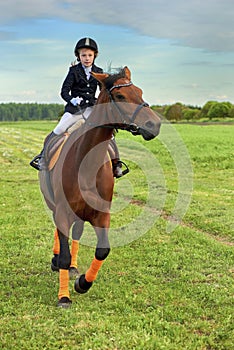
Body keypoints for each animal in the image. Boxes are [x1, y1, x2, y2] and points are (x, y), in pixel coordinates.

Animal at [39, 65, 162, 306]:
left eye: (139, 91)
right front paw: (64, 296)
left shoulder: (102, 213)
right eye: (120, 96)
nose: (155, 124)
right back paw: (56, 260)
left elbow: (102, 250)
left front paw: (83, 283)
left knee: (76, 234)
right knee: (59, 232)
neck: (86, 165)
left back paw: (74, 268)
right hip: (55, 206)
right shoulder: (63, 211)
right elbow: (64, 253)